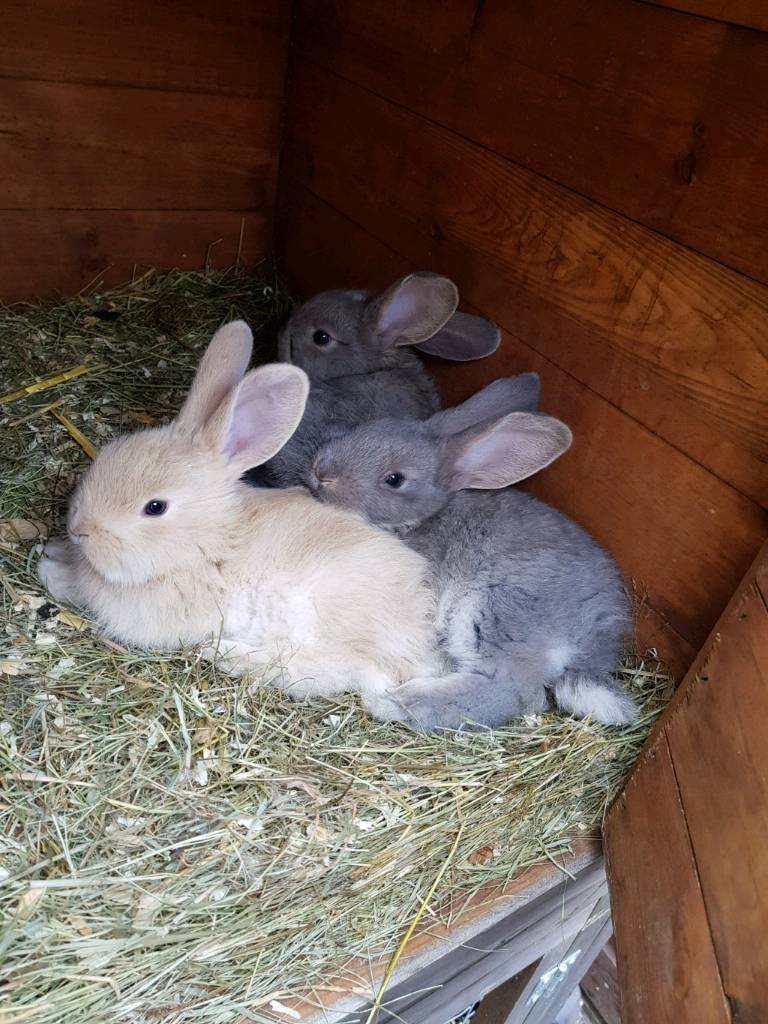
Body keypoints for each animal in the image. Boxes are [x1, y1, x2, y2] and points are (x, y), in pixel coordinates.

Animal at [37, 321, 440, 710]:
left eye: (155, 507)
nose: (79, 529)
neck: (208, 544)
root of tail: (416, 641)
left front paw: (50, 570)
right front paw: (51, 554)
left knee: (323, 667)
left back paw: (227, 654)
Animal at [307, 379, 638, 730]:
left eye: (394, 479)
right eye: (365, 427)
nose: (321, 471)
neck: (419, 520)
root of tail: (594, 643)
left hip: (494, 610)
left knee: (510, 688)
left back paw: (398, 702)